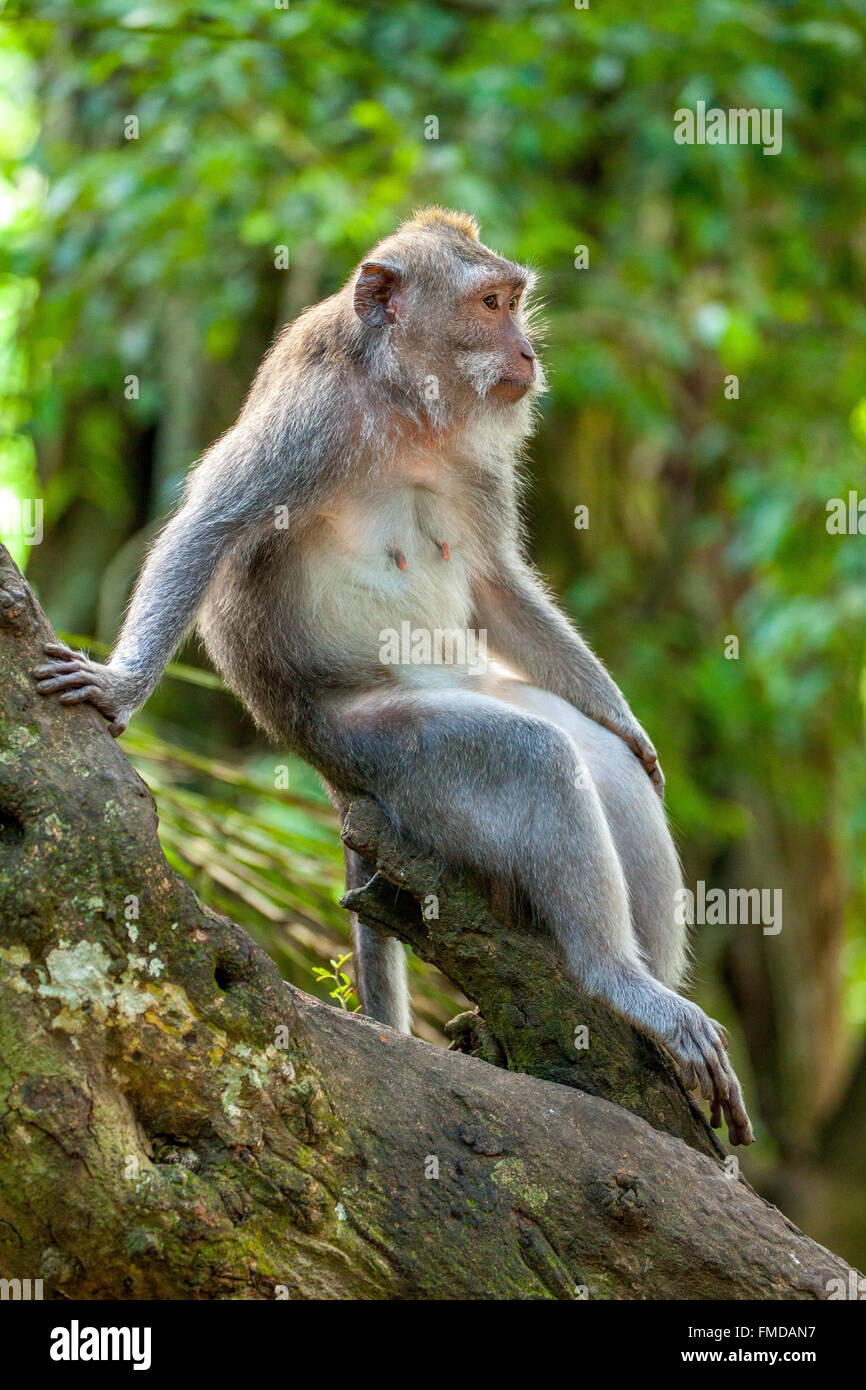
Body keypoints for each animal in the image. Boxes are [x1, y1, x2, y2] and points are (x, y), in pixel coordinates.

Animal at [34, 207, 753, 1145]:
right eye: (491, 304)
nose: (529, 353)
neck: (407, 407)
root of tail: (332, 778)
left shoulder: (480, 464)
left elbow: (496, 583)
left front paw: (631, 725)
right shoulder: (307, 423)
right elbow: (210, 525)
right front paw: (120, 686)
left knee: (596, 760)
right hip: (373, 749)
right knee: (532, 756)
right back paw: (615, 983)